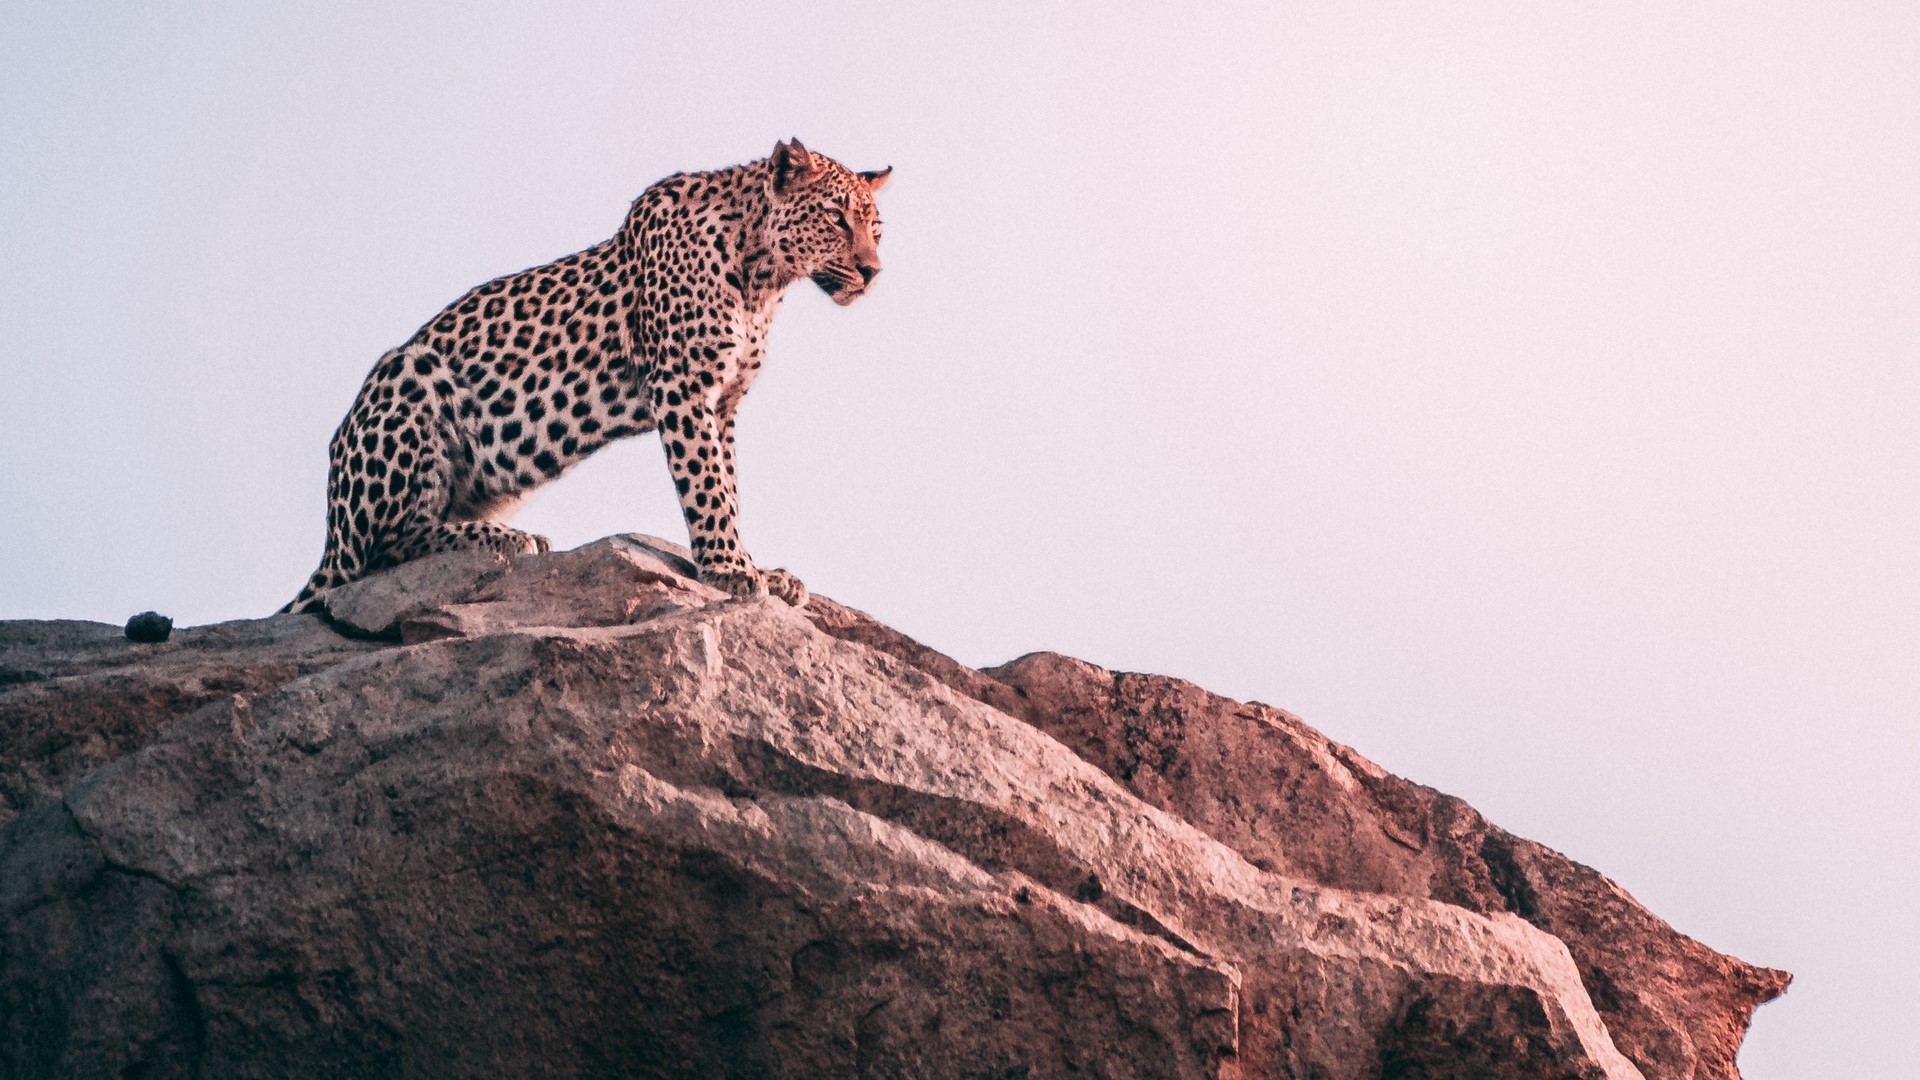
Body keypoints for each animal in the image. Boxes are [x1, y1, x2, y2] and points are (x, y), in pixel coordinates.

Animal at [281, 139, 889, 614]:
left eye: (876, 229)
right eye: (836, 218)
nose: (872, 271)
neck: (763, 277)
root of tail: (331, 534)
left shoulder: (724, 403)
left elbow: (730, 485)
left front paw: (757, 566)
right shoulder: (683, 386)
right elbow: (707, 484)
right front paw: (730, 569)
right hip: (408, 373)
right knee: (379, 552)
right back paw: (508, 539)